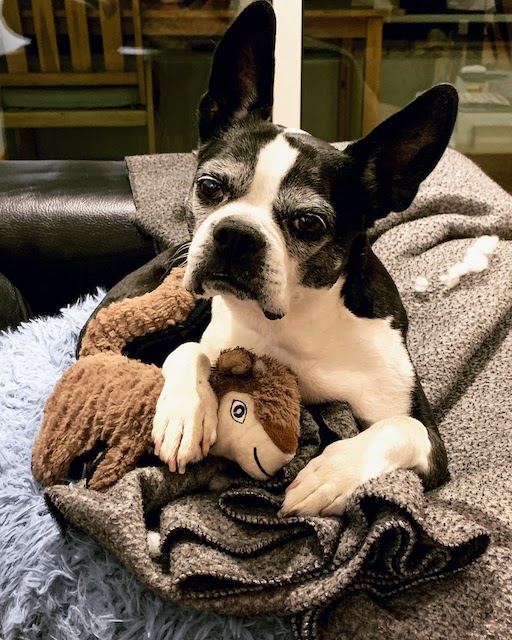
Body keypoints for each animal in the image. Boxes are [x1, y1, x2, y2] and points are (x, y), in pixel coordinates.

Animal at [151, 1, 456, 516]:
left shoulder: (430, 442)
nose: (236, 234)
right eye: (209, 186)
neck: (296, 319)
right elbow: (190, 349)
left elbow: (401, 426)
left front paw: (329, 473)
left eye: (309, 223)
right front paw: (183, 413)